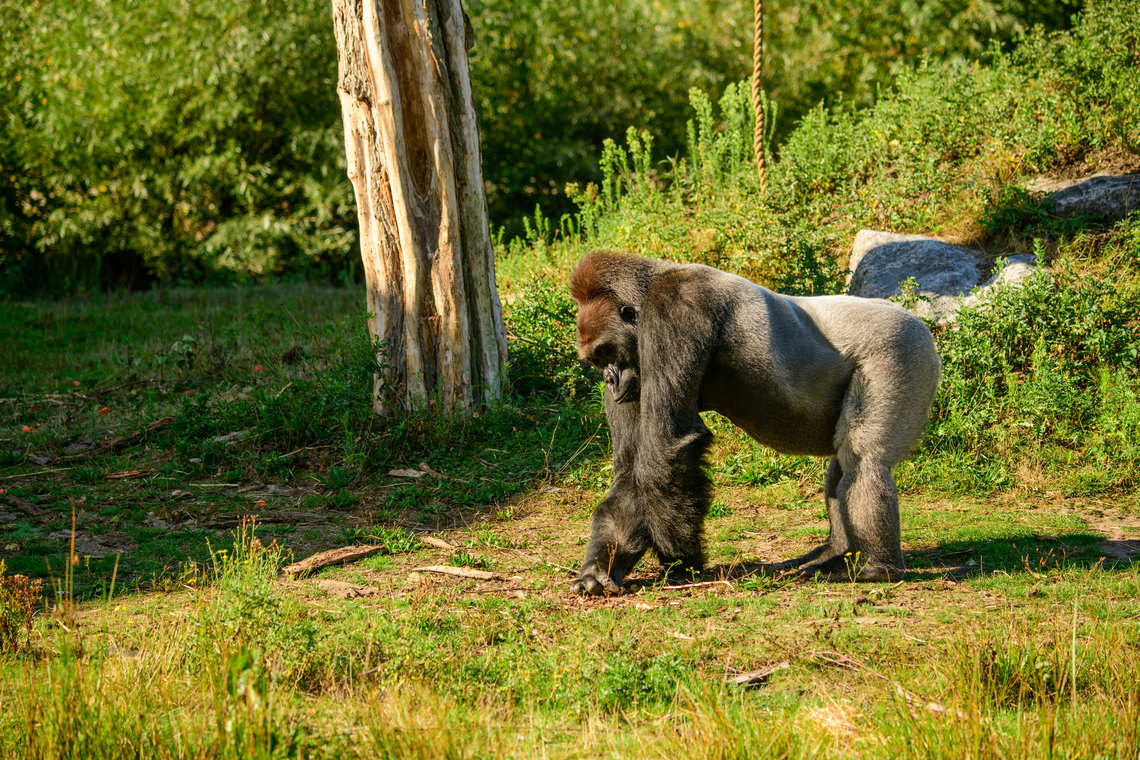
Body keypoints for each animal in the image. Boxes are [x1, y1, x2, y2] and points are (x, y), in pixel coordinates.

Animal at [568, 251, 941, 595]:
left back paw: (874, 567)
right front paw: (602, 567)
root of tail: (919, 321)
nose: (609, 381)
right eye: (596, 362)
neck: (650, 289)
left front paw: (681, 560)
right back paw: (837, 553)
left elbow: (665, 448)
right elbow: (632, 468)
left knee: (865, 460)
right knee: (841, 467)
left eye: (606, 354)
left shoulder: (676, 310)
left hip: (903, 348)